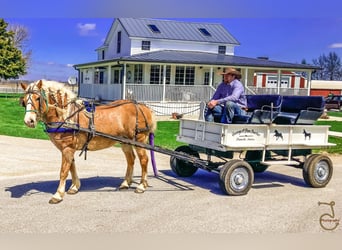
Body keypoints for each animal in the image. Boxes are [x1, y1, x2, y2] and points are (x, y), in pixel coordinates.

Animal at [20, 79, 156, 204]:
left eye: (38, 98)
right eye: (24, 101)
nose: (29, 121)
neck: (66, 116)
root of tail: (144, 107)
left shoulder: (67, 148)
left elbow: (64, 171)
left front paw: (58, 195)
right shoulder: (68, 149)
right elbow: (72, 167)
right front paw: (75, 187)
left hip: (139, 140)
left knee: (144, 160)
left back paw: (141, 186)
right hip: (125, 142)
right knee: (131, 160)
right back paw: (125, 183)